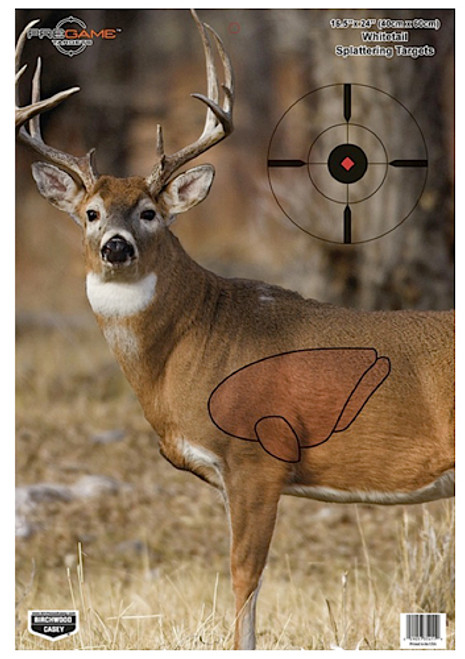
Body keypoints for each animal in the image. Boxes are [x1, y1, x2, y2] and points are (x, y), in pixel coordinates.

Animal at [16, 10, 454, 651]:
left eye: (149, 212)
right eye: (90, 213)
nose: (116, 246)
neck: (192, 344)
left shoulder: (257, 455)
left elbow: (244, 577)